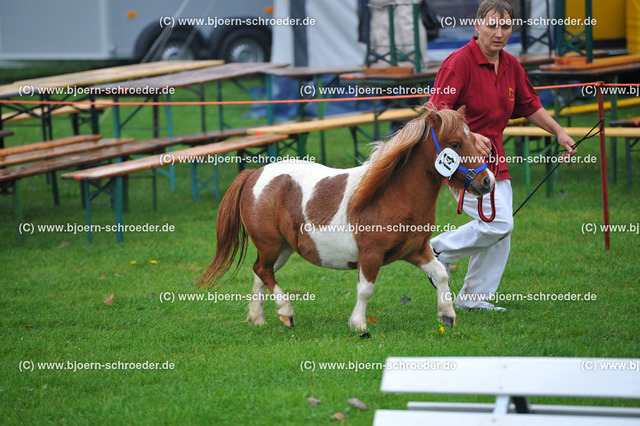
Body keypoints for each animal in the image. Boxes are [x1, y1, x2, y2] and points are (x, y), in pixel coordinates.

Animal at [198, 105, 492, 330]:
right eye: (455, 144)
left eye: (473, 140)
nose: (487, 181)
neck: (391, 194)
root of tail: (254, 174)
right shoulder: (371, 255)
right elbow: (365, 289)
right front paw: (359, 324)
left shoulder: (416, 250)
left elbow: (441, 274)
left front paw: (448, 315)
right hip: (270, 244)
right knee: (262, 271)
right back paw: (286, 312)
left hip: (281, 248)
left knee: (260, 272)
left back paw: (259, 319)